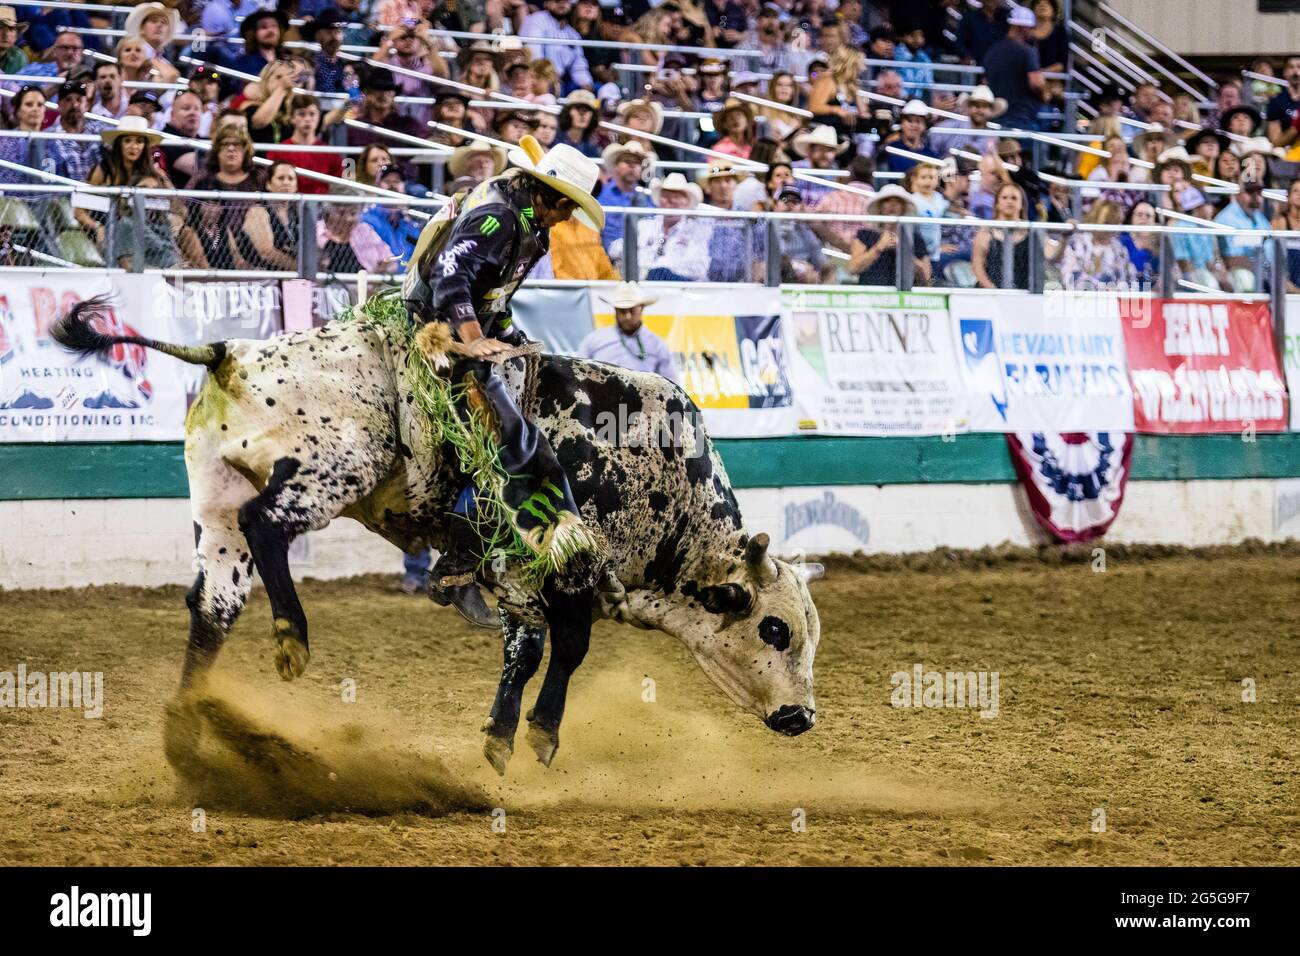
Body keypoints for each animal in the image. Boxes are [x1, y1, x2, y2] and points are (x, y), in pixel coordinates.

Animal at [53, 299, 821, 780]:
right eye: (775, 629)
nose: (802, 716)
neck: (660, 476)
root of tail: (233, 349)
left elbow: (542, 646)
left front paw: (510, 735)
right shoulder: (533, 564)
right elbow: (552, 647)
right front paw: (528, 737)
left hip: (215, 501)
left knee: (212, 608)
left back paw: (189, 731)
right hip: (333, 468)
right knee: (267, 528)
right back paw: (291, 637)